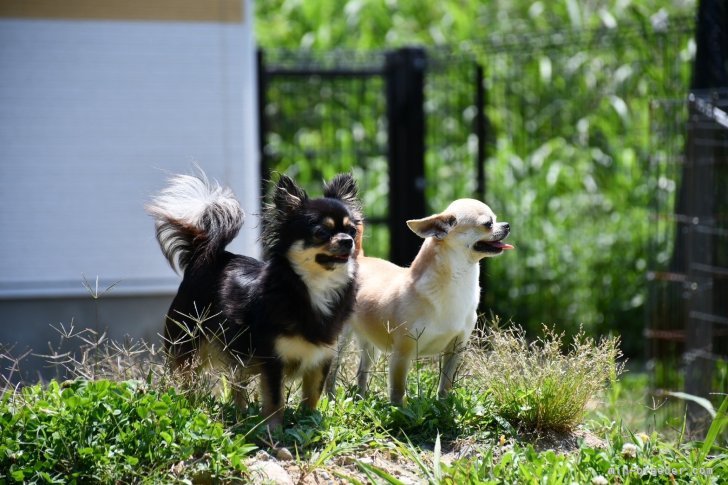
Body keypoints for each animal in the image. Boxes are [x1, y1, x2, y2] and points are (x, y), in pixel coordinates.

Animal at [328, 198, 516, 404]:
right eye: (488, 224)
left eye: (496, 219)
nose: (507, 225)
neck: (456, 282)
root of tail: (359, 259)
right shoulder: (402, 353)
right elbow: (398, 391)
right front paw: (399, 411)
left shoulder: (455, 349)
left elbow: (445, 385)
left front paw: (443, 407)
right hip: (338, 341)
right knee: (332, 372)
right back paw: (330, 400)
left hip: (370, 344)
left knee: (362, 370)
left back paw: (361, 398)